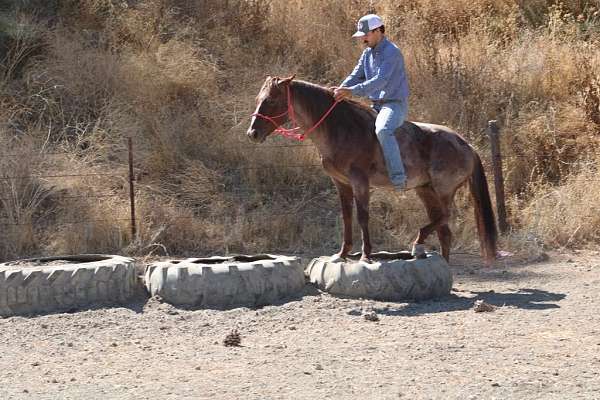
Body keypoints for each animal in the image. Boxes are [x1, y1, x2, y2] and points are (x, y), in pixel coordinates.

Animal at [246, 76, 494, 266]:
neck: (341, 129)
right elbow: (346, 216)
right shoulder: (341, 183)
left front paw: (366, 255)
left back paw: (418, 243)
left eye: (271, 100)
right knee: (444, 230)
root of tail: (466, 145)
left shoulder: (360, 182)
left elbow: (362, 216)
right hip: (426, 191)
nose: (252, 134)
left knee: (445, 217)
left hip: (444, 190)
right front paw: (342, 254)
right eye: (258, 99)